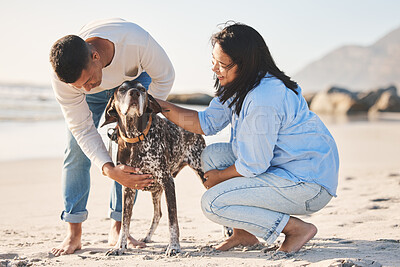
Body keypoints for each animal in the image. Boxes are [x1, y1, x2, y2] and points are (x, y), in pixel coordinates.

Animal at [101, 81, 206, 258]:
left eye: (142, 89)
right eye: (122, 89)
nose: (134, 93)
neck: (135, 138)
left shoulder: (168, 182)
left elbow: (172, 220)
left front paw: (174, 246)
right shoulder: (127, 187)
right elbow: (125, 222)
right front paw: (119, 247)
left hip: (203, 174)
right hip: (156, 191)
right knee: (158, 214)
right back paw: (147, 237)